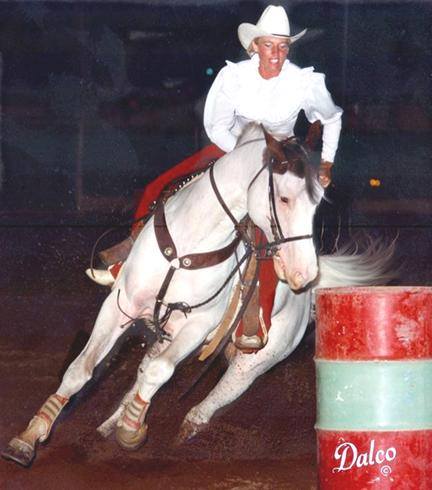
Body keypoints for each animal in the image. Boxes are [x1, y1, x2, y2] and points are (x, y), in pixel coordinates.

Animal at [0, 123, 392, 468]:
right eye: (283, 198)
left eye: (317, 203)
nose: (304, 273)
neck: (190, 245)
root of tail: (308, 296)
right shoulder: (120, 305)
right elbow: (80, 370)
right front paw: (29, 438)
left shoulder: (198, 326)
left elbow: (159, 373)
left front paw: (132, 431)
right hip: (165, 332)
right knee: (142, 372)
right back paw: (113, 422)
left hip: (258, 359)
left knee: (218, 391)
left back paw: (181, 425)